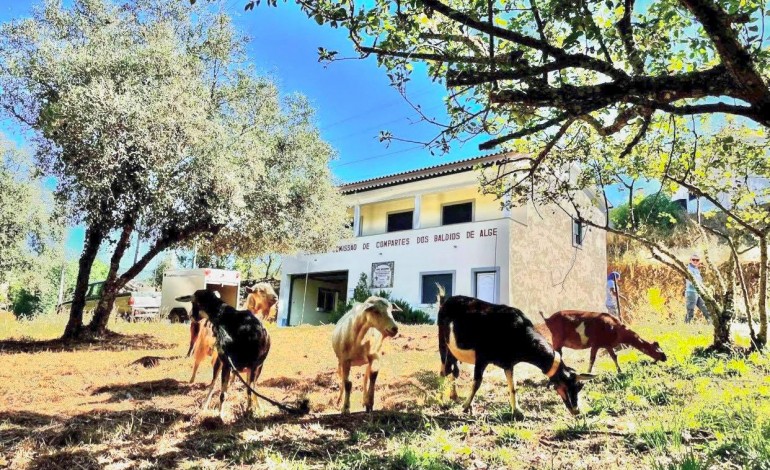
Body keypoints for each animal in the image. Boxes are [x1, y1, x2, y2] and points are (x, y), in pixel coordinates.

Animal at [174, 290, 270, 418]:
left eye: (194, 303)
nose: (191, 316)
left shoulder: (254, 366)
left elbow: (250, 390)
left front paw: (249, 410)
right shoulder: (226, 363)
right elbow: (223, 393)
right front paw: (220, 415)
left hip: (256, 368)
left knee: (252, 387)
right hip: (220, 362)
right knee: (213, 383)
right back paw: (205, 405)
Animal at [436, 290, 592, 418]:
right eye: (570, 385)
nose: (576, 410)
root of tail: (447, 301)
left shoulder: (508, 363)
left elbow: (513, 387)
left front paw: (517, 411)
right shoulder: (482, 357)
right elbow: (477, 382)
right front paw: (466, 407)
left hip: (453, 350)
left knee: (454, 370)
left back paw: (454, 396)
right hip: (443, 341)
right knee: (444, 370)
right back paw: (441, 401)